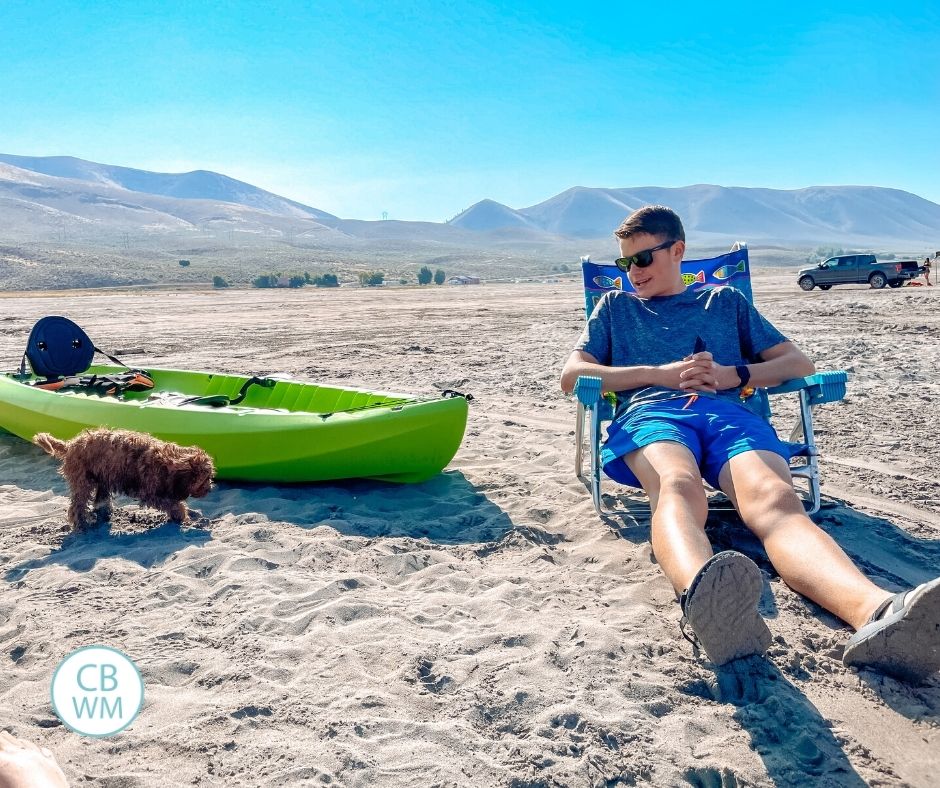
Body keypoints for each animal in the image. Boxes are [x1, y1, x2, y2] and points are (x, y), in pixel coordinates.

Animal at [33, 428, 215, 532]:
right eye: (205, 479)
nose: (210, 489)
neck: (166, 461)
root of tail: (70, 445)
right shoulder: (151, 493)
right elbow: (173, 504)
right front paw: (181, 515)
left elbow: (174, 502)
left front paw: (188, 513)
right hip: (82, 481)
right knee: (77, 506)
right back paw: (82, 525)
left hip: (102, 477)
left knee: (100, 498)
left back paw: (104, 514)